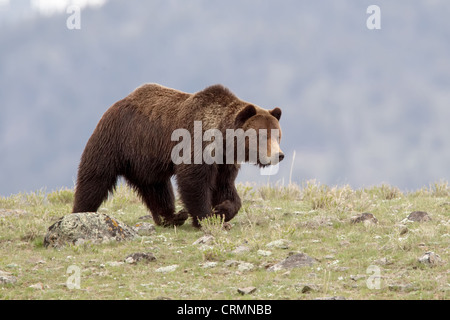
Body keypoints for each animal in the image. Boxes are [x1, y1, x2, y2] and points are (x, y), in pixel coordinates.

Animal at [73, 83, 284, 228]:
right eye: (262, 136)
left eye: (278, 135)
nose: (279, 155)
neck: (223, 139)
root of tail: (116, 104)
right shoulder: (196, 142)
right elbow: (193, 180)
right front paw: (206, 217)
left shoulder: (224, 160)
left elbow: (225, 186)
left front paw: (223, 209)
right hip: (115, 141)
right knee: (94, 179)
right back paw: (80, 212)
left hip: (145, 161)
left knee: (157, 189)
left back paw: (172, 217)